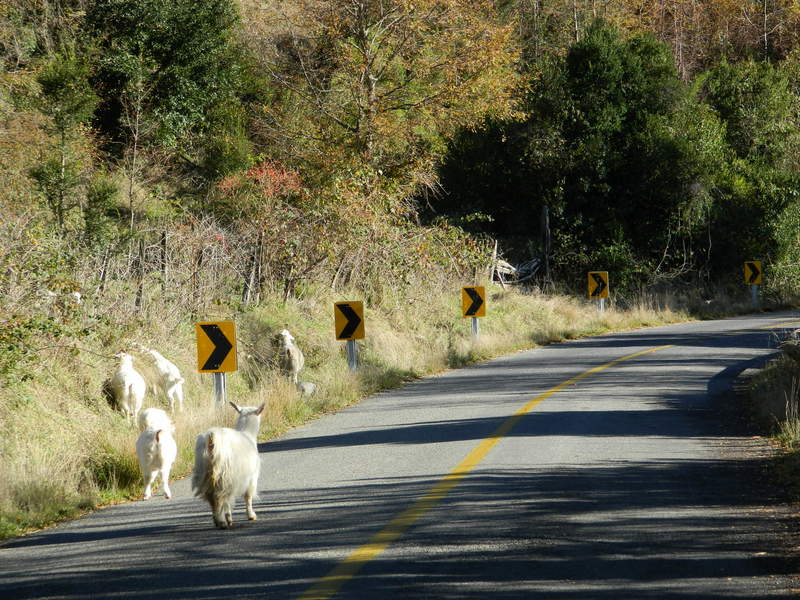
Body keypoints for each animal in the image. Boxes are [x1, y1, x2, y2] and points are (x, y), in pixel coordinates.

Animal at [192, 400, 268, 528]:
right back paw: (224, 521)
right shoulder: (252, 478)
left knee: (212, 497)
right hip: (226, 476)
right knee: (222, 498)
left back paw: (217, 520)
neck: (247, 434)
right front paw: (251, 515)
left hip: (205, 473)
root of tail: (212, 439)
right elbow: (248, 497)